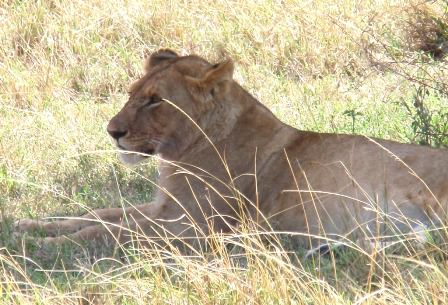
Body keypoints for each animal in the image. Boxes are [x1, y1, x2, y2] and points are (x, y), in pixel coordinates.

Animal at [15, 49, 448, 249]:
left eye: (155, 101)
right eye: (132, 93)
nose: (112, 132)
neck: (178, 156)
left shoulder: (191, 225)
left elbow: (111, 230)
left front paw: (46, 245)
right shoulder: (163, 208)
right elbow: (97, 214)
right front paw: (31, 225)